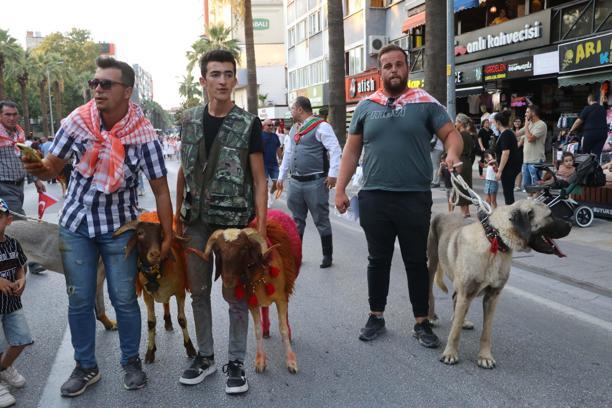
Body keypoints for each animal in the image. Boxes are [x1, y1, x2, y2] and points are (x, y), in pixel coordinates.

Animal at [428, 199, 572, 368]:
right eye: (550, 215)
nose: (570, 224)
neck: (494, 239)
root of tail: (446, 212)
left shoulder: (492, 297)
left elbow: (486, 332)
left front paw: (485, 356)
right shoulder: (466, 292)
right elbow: (455, 332)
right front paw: (450, 353)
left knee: (455, 301)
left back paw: (463, 320)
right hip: (432, 264)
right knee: (430, 293)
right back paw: (430, 317)